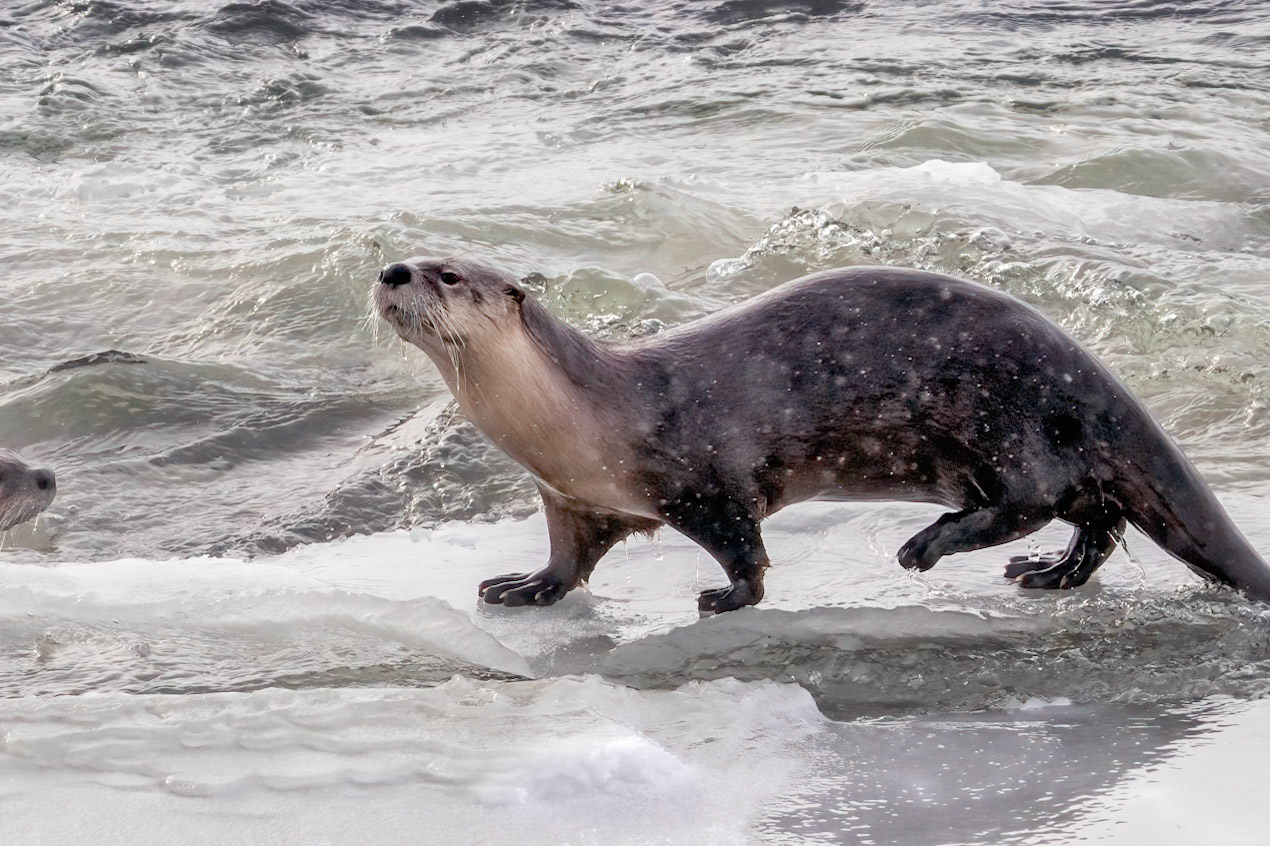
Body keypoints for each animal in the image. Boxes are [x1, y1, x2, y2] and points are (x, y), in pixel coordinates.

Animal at [374, 257, 1270, 612]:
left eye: (448, 274)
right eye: (411, 254)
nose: (391, 269)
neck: (584, 417)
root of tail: (1096, 374)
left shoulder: (706, 478)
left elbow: (745, 548)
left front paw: (729, 598)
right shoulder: (574, 498)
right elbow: (569, 559)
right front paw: (523, 586)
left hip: (1010, 423)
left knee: (1032, 499)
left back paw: (927, 546)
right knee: (1099, 517)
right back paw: (1046, 574)